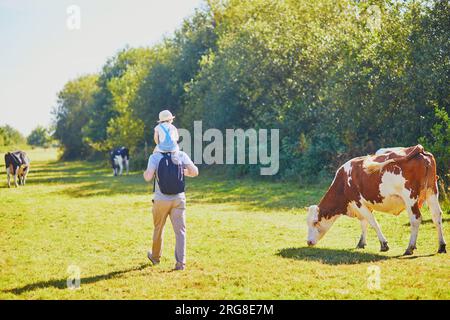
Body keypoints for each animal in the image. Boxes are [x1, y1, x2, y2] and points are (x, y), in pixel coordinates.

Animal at [306, 145, 446, 255]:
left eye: (315, 222)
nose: (308, 242)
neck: (343, 182)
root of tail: (419, 149)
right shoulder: (363, 205)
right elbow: (364, 222)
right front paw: (361, 243)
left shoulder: (358, 202)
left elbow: (372, 222)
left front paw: (384, 244)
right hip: (432, 191)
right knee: (436, 216)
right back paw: (441, 246)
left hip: (410, 198)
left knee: (415, 219)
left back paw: (409, 248)